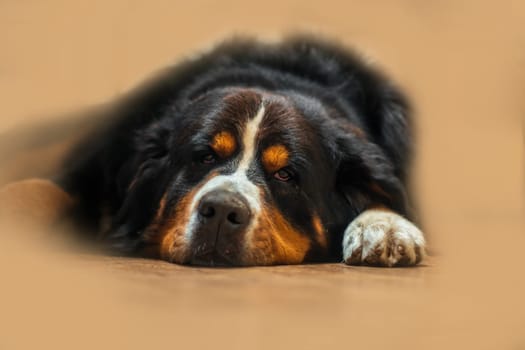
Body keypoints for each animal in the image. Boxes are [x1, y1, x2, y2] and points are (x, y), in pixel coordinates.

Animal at [12, 37, 424, 266]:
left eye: (285, 175)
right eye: (205, 157)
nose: (223, 211)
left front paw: (384, 226)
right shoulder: (97, 162)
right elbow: (42, 188)